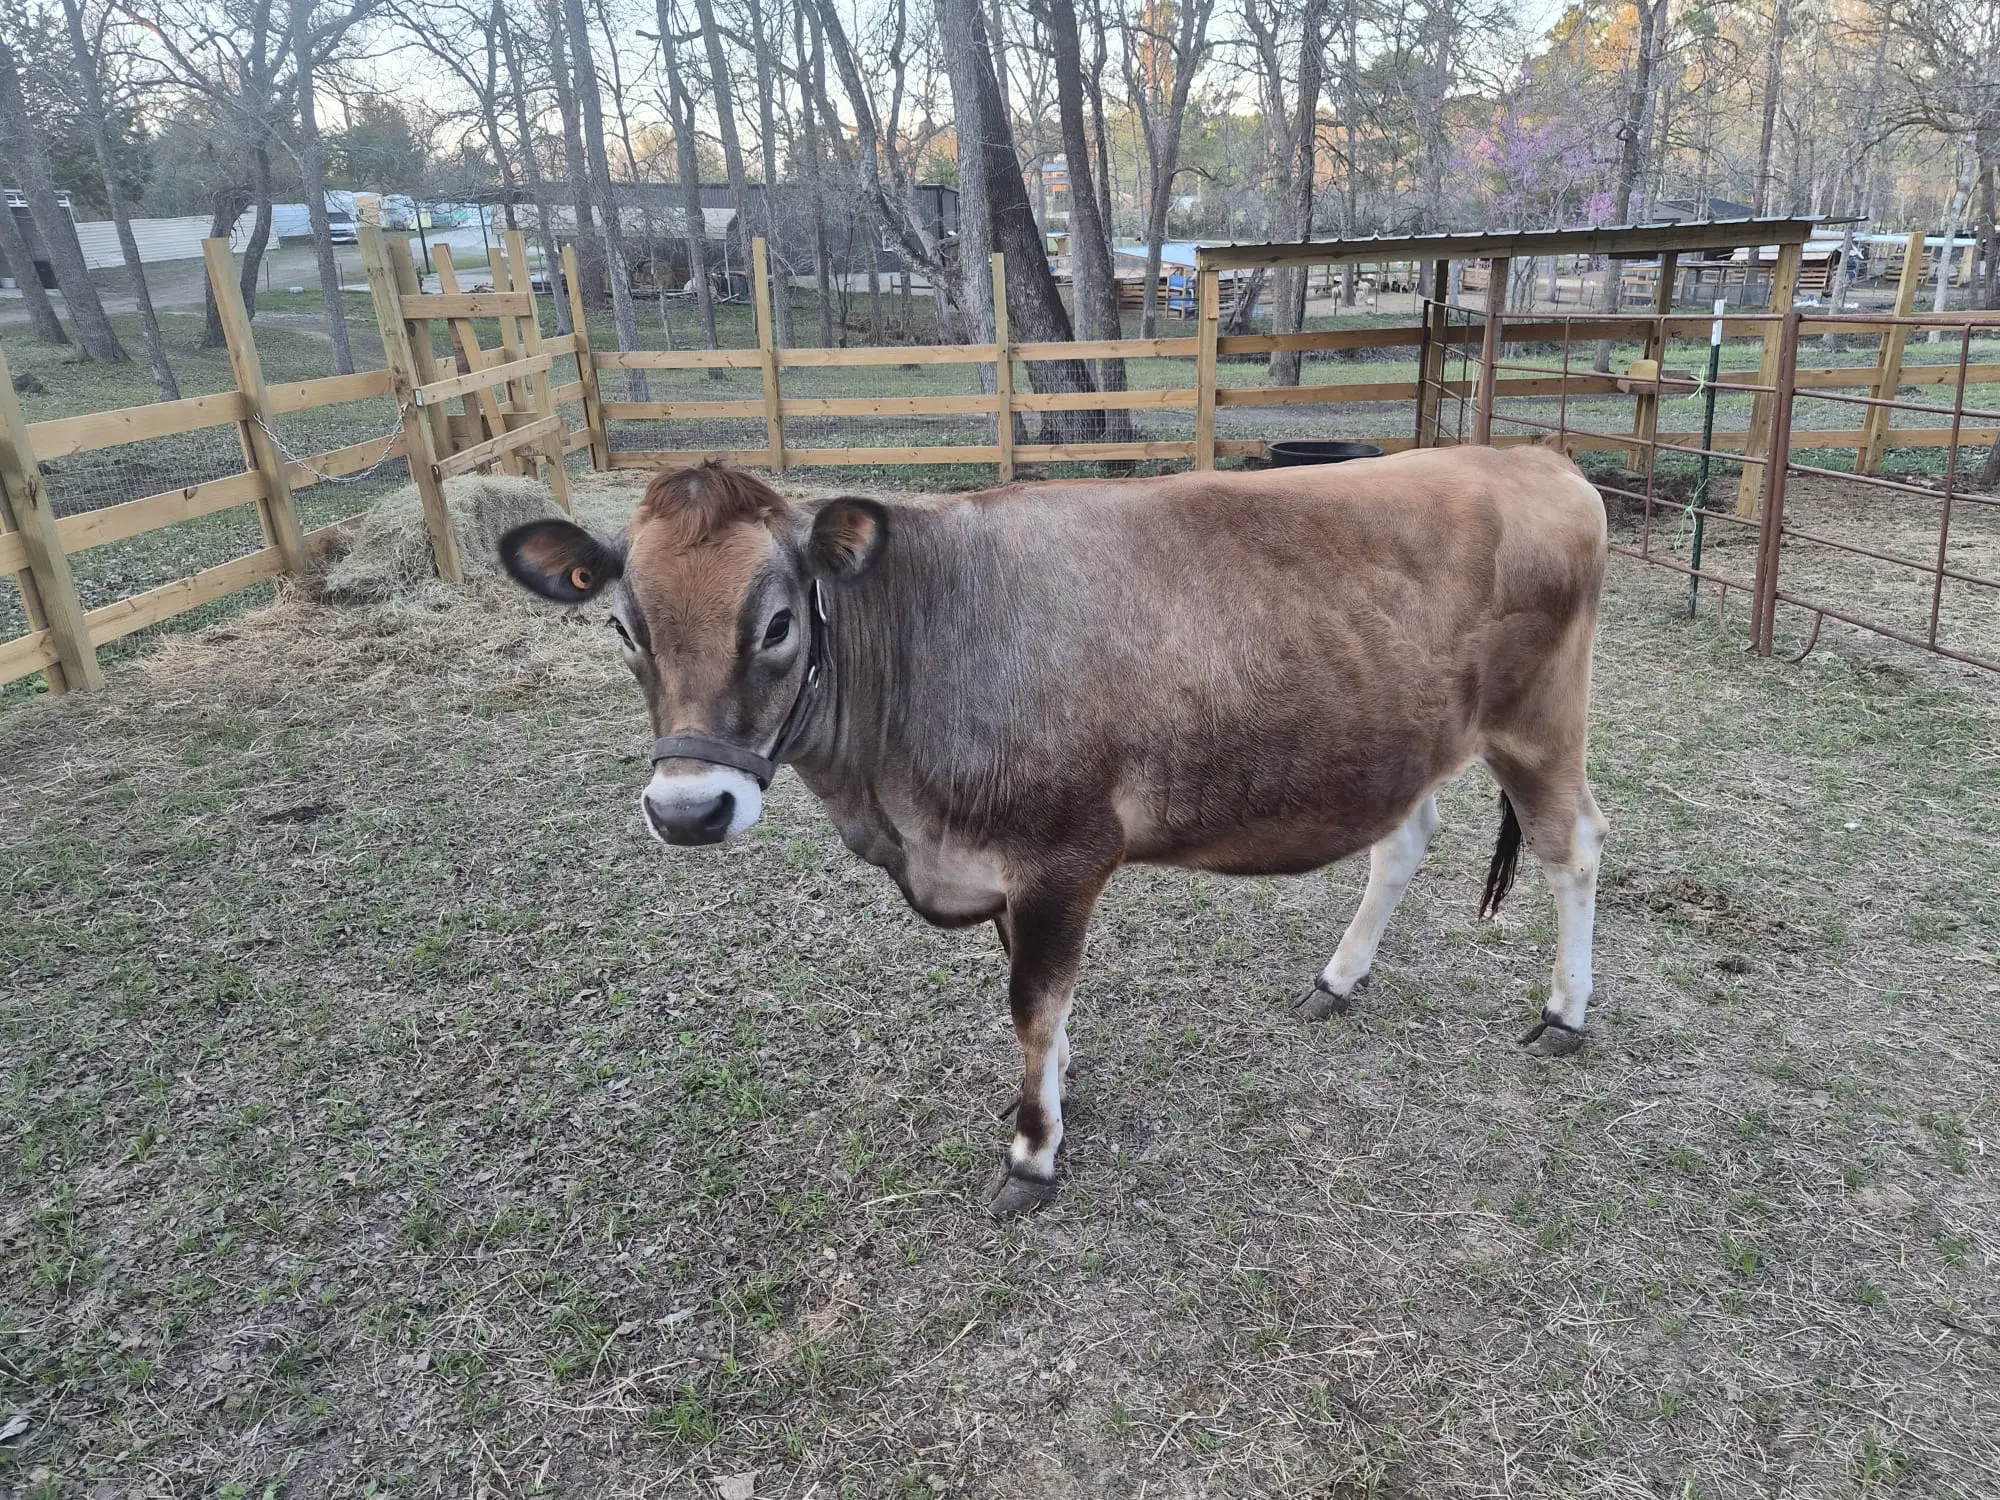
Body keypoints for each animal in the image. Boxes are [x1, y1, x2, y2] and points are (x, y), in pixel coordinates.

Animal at [499, 447, 1609, 1216]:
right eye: (624, 626)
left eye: (775, 624)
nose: (690, 809)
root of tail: (1536, 459)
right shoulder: (1000, 867)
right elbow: (1036, 997)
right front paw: (1056, 1092)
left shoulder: (1064, 853)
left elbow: (1031, 1002)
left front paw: (1033, 1151)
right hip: (1401, 739)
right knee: (1403, 840)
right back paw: (1339, 979)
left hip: (1538, 724)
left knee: (1577, 847)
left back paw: (1564, 1012)